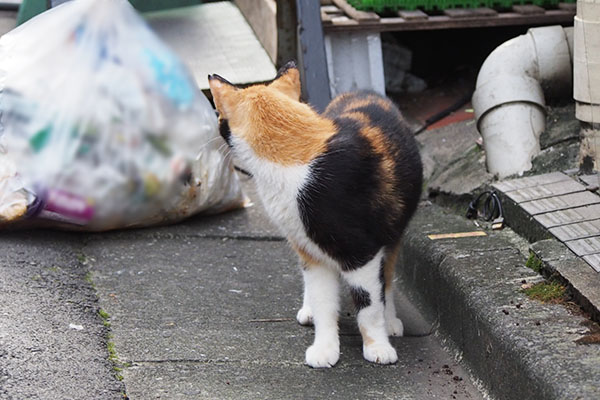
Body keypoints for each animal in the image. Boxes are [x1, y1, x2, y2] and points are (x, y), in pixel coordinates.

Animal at [209, 61, 424, 368]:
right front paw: (325, 347)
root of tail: (362, 91)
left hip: (392, 232)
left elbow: (369, 305)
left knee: (387, 278)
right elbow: (324, 303)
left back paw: (390, 318)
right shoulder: (312, 253)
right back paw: (309, 309)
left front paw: (378, 346)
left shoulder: (363, 253)